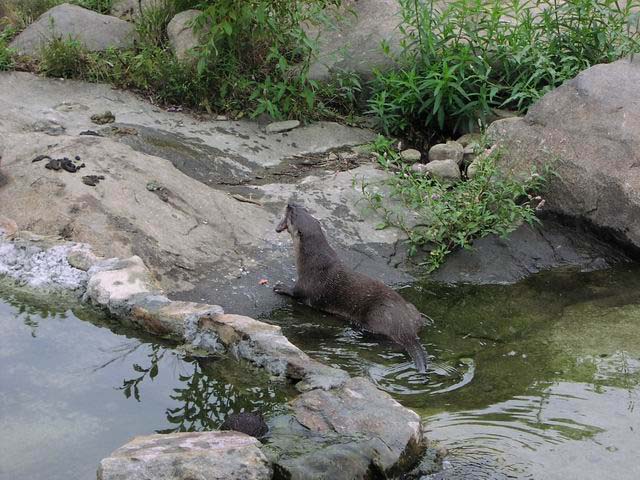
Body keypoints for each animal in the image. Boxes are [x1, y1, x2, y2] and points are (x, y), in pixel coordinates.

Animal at [272, 202, 428, 372]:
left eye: (293, 215)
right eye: (302, 208)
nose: (290, 204)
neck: (313, 260)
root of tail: (406, 328)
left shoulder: (307, 282)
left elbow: (296, 292)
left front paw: (281, 287)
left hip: (378, 316)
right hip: (411, 311)